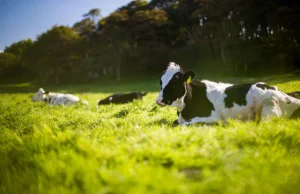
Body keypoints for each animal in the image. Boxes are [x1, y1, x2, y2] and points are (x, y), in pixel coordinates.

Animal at [156, 62, 300, 126]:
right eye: (161, 81)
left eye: (174, 83)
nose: (158, 100)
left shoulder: (212, 117)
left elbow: (184, 124)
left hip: (269, 107)